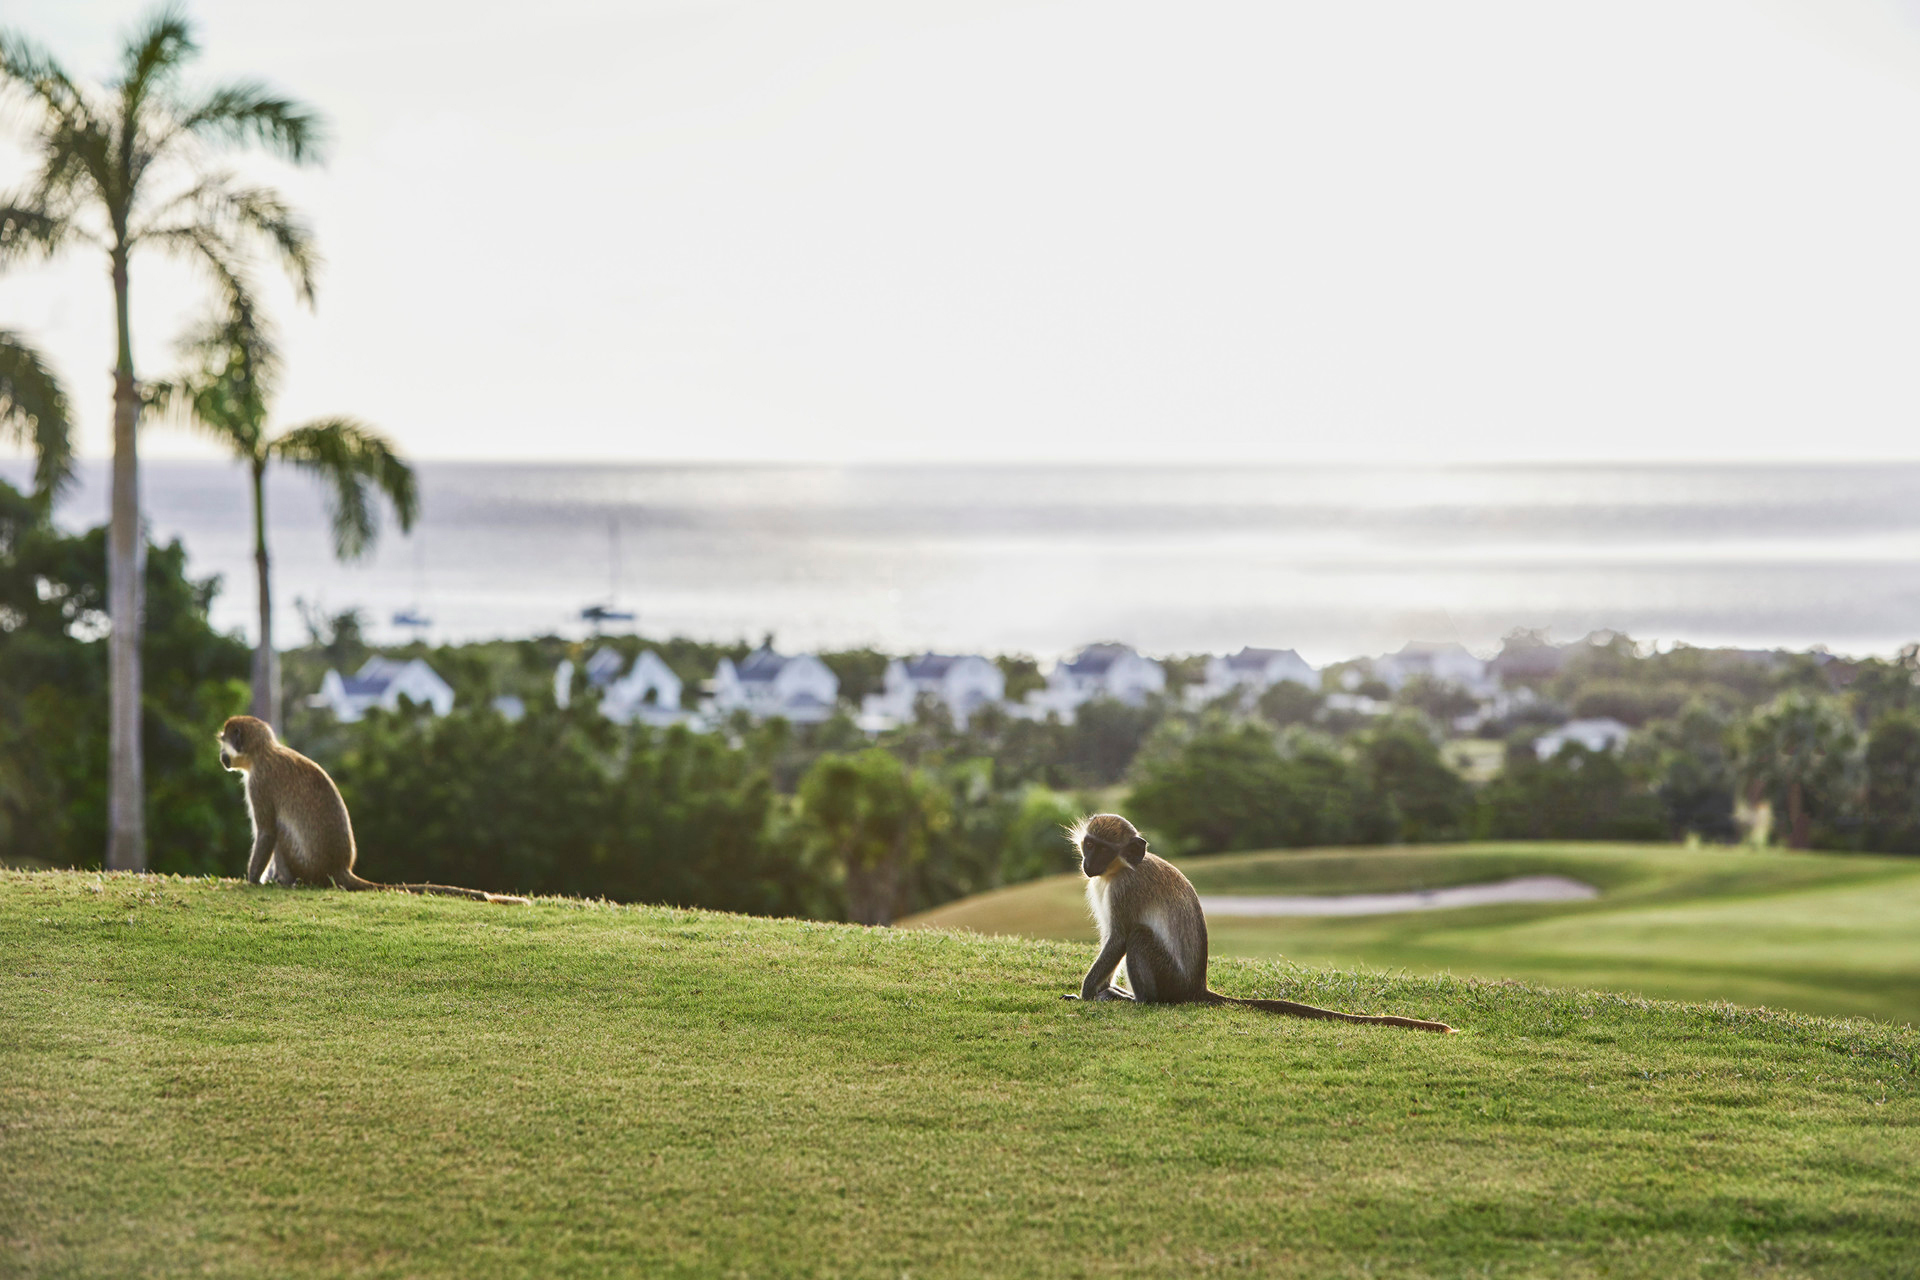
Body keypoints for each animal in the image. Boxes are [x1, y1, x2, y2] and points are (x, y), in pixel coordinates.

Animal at [216, 715, 529, 905]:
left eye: (225, 742)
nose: (221, 757)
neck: (264, 752)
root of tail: (339, 868)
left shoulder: (259, 783)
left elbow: (267, 832)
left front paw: (252, 881)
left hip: (307, 865)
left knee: (281, 833)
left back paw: (287, 881)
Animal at [1062, 814, 1452, 1033]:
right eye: (1088, 844)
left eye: (1102, 848)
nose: (1087, 863)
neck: (1121, 869)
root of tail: (1196, 988)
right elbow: (1110, 940)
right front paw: (1101, 990)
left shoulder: (1125, 890)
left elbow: (1119, 938)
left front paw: (1088, 993)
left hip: (1168, 978)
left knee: (1140, 937)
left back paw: (1140, 1001)